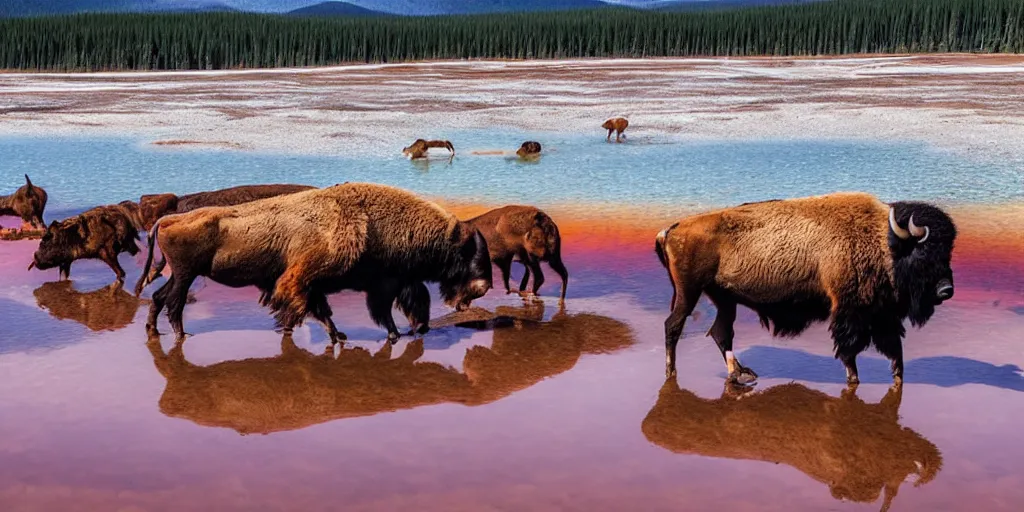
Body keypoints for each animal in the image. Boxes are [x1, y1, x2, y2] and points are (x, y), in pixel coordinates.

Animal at [655, 192, 958, 385]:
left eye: (947, 251)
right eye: (923, 251)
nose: (946, 290)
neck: (884, 241)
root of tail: (671, 229)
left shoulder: (883, 315)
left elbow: (895, 351)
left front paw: (897, 378)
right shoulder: (849, 312)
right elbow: (850, 350)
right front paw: (853, 380)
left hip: (724, 299)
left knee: (721, 332)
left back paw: (740, 374)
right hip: (689, 293)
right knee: (673, 326)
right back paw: (671, 373)